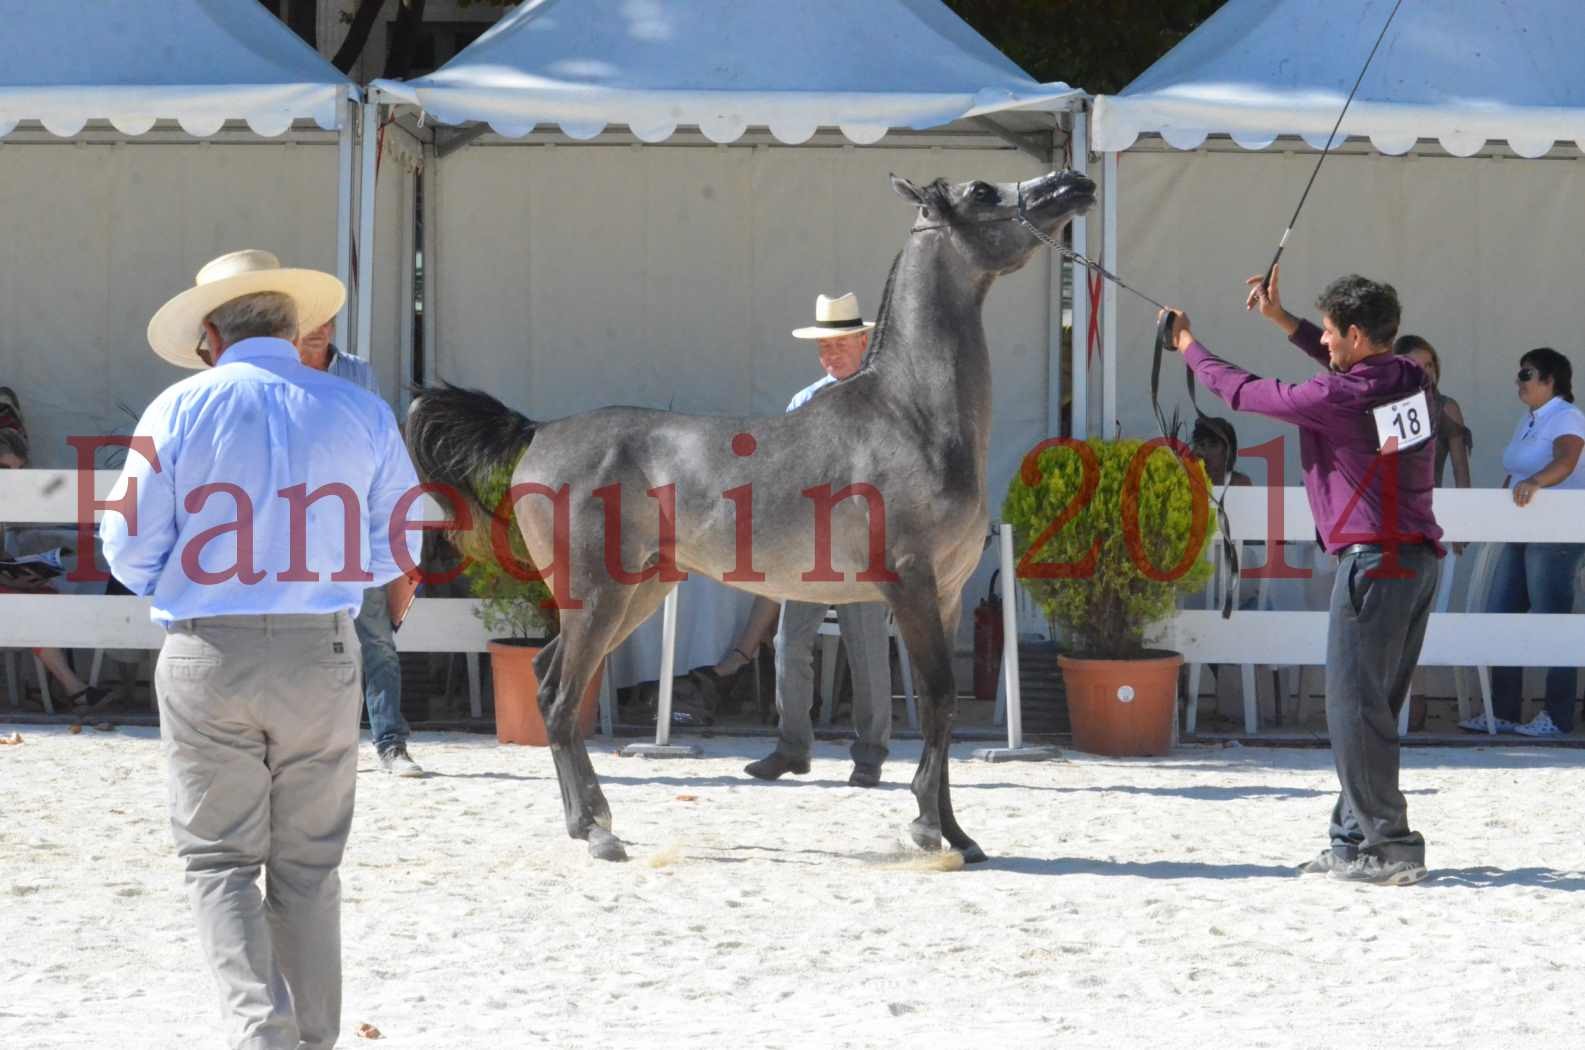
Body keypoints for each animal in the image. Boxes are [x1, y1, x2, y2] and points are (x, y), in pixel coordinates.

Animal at [408, 170, 1096, 862]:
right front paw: (930, 829)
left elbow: (944, 710)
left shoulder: (947, 594)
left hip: (635, 594)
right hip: (597, 596)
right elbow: (935, 700)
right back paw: (597, 833)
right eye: (982, 192)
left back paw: (591, 819)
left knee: (550, 676)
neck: (909, 415)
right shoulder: (913, 587)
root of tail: (537, 431)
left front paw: (957, 834)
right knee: (556, 696)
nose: (1073, 183)